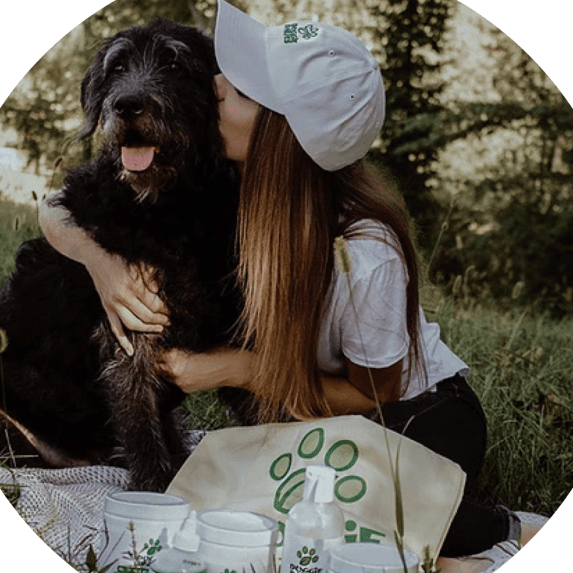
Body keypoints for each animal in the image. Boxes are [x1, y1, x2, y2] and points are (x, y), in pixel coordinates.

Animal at [0, 20, 246, 490]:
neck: (172, 210)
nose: (126, 105)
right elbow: (141, 429)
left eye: (174, 64)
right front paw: (154, 492)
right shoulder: (127, 330)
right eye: (117, 67)